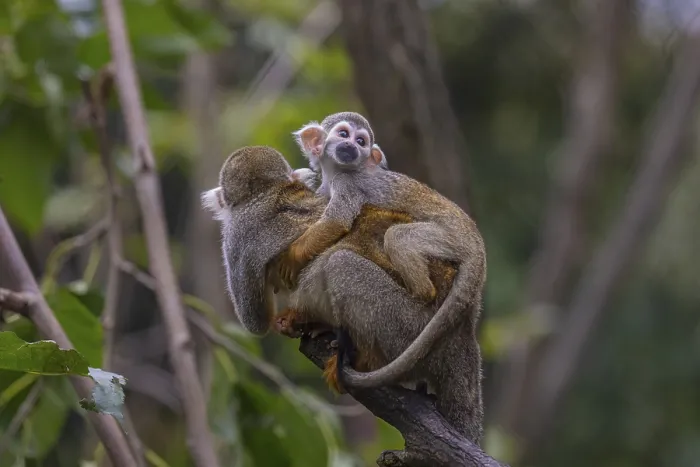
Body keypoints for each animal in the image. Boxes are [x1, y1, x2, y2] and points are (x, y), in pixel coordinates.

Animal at [278, 111, 486, 392]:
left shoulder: (347, 184)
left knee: (397, 238)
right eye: (344, 134)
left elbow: (337, 222)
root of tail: (477, 244)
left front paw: (292, 256)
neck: (338, 173)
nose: (352, 146)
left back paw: (421, 292)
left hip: (449, 238)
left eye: (361, 141)